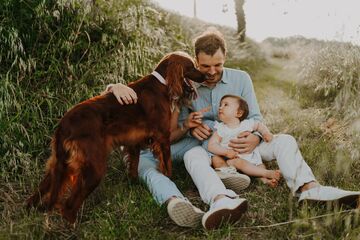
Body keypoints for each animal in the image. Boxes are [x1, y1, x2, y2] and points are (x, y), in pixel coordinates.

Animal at [26, 51, 205, 223]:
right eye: (191, 66)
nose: (204, 76)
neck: (161, 84)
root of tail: (64, 124)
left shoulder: (134, 143)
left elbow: (134, 166)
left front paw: (133, 184)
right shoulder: (162, 136)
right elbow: (167, 165)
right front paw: (169, 178)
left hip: (59, 163)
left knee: (42, 191)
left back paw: (31, 208)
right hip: (94, 166)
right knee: (69, 205)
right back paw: (72, 224)